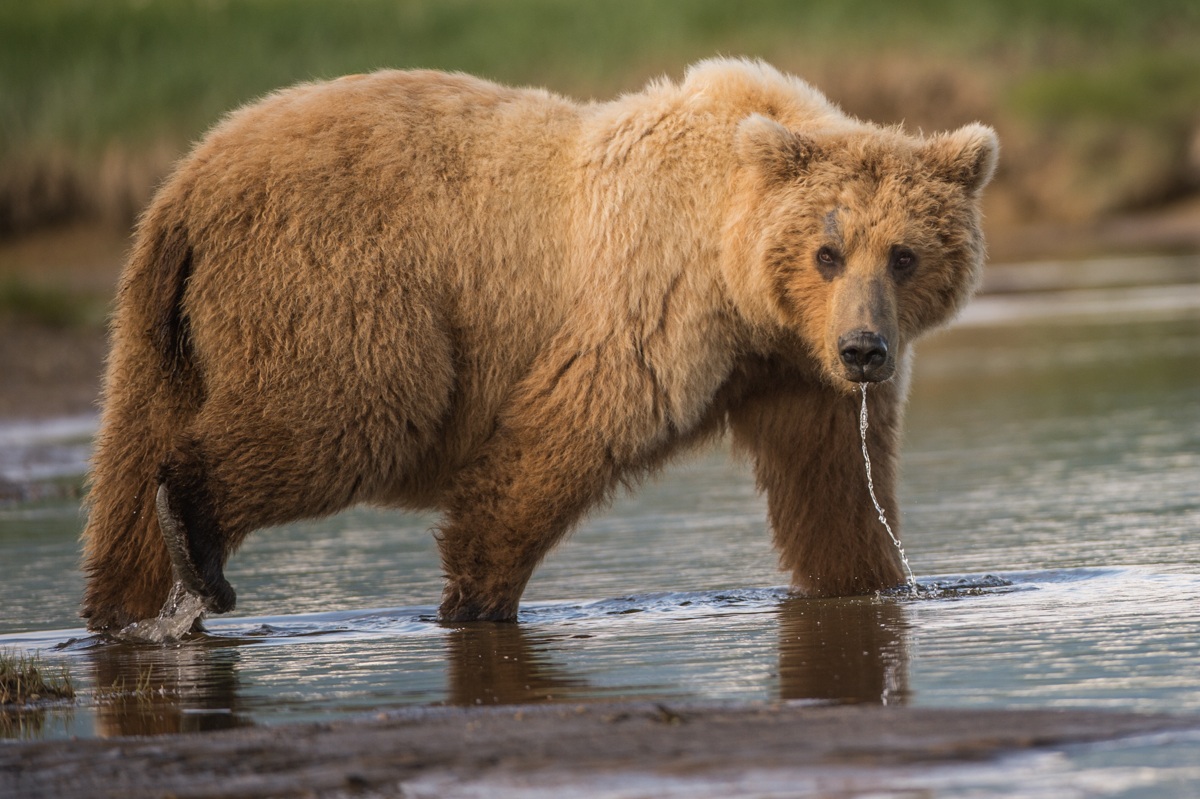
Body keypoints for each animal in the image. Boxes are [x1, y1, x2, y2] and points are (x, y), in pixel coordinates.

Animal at [80, 58, 997, 632]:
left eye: (905, 254)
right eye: (827, 251)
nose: (865, 350)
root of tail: (191, 180)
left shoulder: (792, 373)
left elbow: (837, 494)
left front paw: (874, 583)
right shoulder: (653, 303)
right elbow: (566, 431)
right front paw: (476, 594)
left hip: (164, 321)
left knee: (129, 453)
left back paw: (124, 599)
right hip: (333, 278)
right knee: (352, 410)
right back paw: (196, 539)